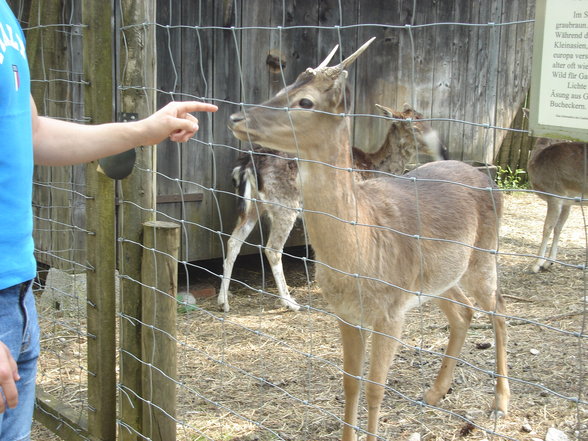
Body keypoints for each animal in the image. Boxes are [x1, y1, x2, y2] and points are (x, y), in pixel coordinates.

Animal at [218, 103, 448, 312]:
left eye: (427, 121)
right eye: (414, 127)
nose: (444, 150)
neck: (373, 167)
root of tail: (246, 165)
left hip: (253, 205)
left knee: (233, 241)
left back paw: (223, 302)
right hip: (284, 204)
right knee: (272, 249)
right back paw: (290, 302)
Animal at [524, 138, 584, 272]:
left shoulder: (555, 195)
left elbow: (547, 228)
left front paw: (537, 264)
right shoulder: (567, 202)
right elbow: (558, 228)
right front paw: (549, 262)